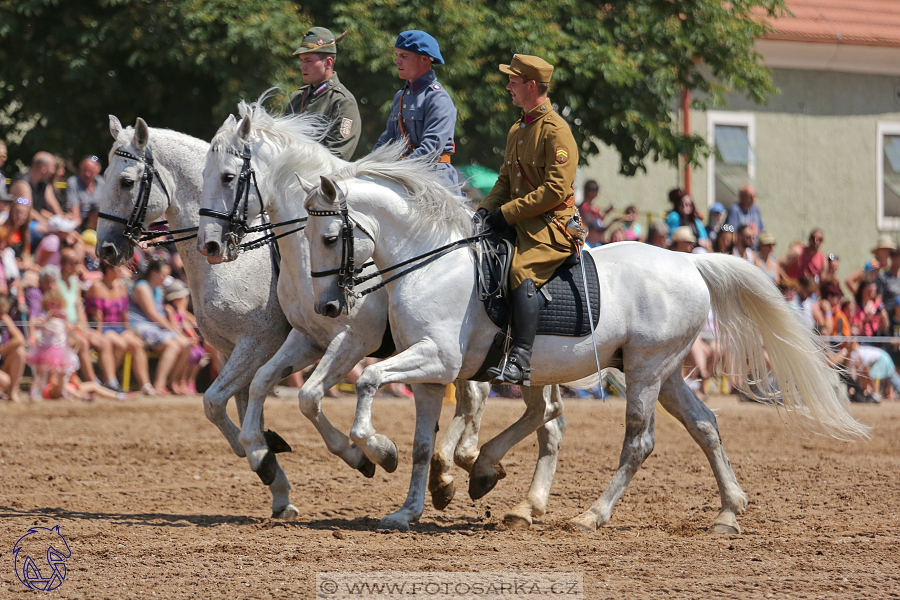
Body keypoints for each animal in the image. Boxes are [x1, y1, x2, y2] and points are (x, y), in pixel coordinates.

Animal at [97, 116, 298, 516]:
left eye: (126, 181)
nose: (104, 249)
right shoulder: (233, 351)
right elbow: (239, 407)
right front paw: (274, 478)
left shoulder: (258, 344)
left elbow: (214, 402)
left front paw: (259, 456)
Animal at [199, 102, 564, 524]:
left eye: (227, 176)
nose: (209, 244)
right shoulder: (306, 339)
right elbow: (262, 386)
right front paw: (263, 457)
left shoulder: (353, 340)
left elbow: (309, 395)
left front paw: (372, 454)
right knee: (533, 414)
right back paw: (478, 479)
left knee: (503, 405)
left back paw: (473, 473)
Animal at [298, 156, 868, 536]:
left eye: (328, 238)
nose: (327, 306)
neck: (431, 262)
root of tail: (689, 260)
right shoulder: (432, 375)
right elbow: (421, 444)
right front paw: (408, 508)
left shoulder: (435, 358)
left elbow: (370, 382)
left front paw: (377, 450)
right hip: (661, 372)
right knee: (703, 425)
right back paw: (728, 511)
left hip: (643, 371)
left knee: (637, 442)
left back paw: (590, 513)